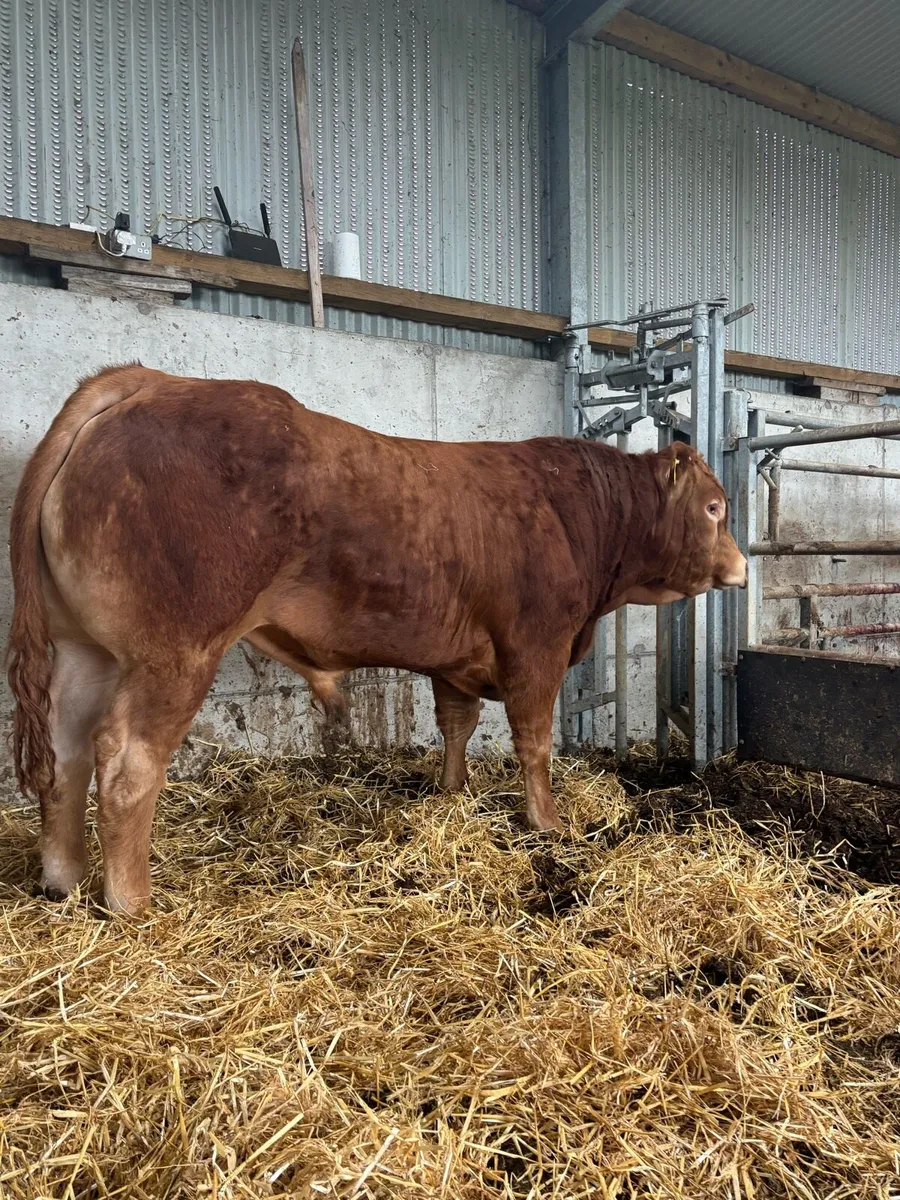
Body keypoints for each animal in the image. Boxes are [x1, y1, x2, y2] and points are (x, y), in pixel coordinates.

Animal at [7, 365, 747, 913]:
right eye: (716, 508)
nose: (742, 567)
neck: (579, 516)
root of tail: (147, 381)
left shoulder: (455, 657)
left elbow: (456, 724)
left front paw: (451, 793)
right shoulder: (537, 646)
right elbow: (533, 740)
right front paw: (548, 823)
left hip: (88, 650)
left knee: (68, 752)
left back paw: (64, 877)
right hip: (174, 651)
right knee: (126, 759)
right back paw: (131, 901)